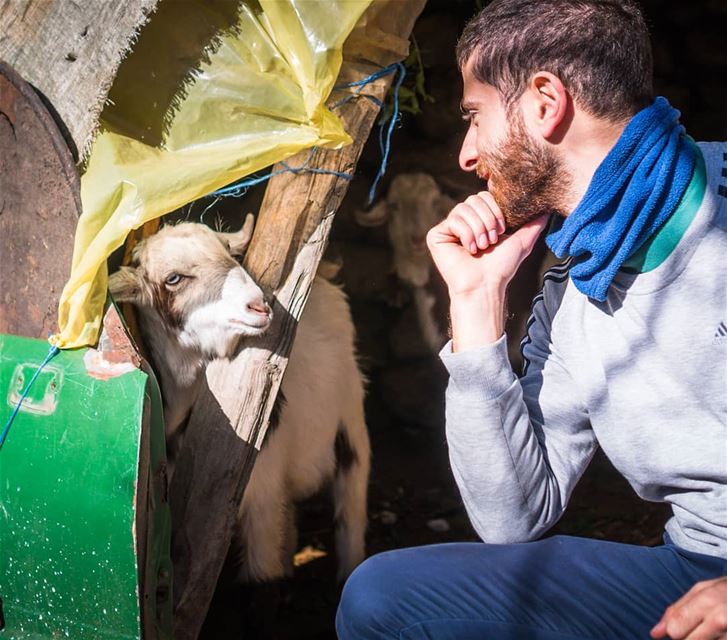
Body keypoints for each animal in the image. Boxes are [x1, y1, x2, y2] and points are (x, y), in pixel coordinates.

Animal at [109, 218, 372, 584]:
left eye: (227, 252)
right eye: (173, 278)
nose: (259, 305)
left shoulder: (261, 496)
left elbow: (262, 579)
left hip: (351, 425)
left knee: (351, 511)